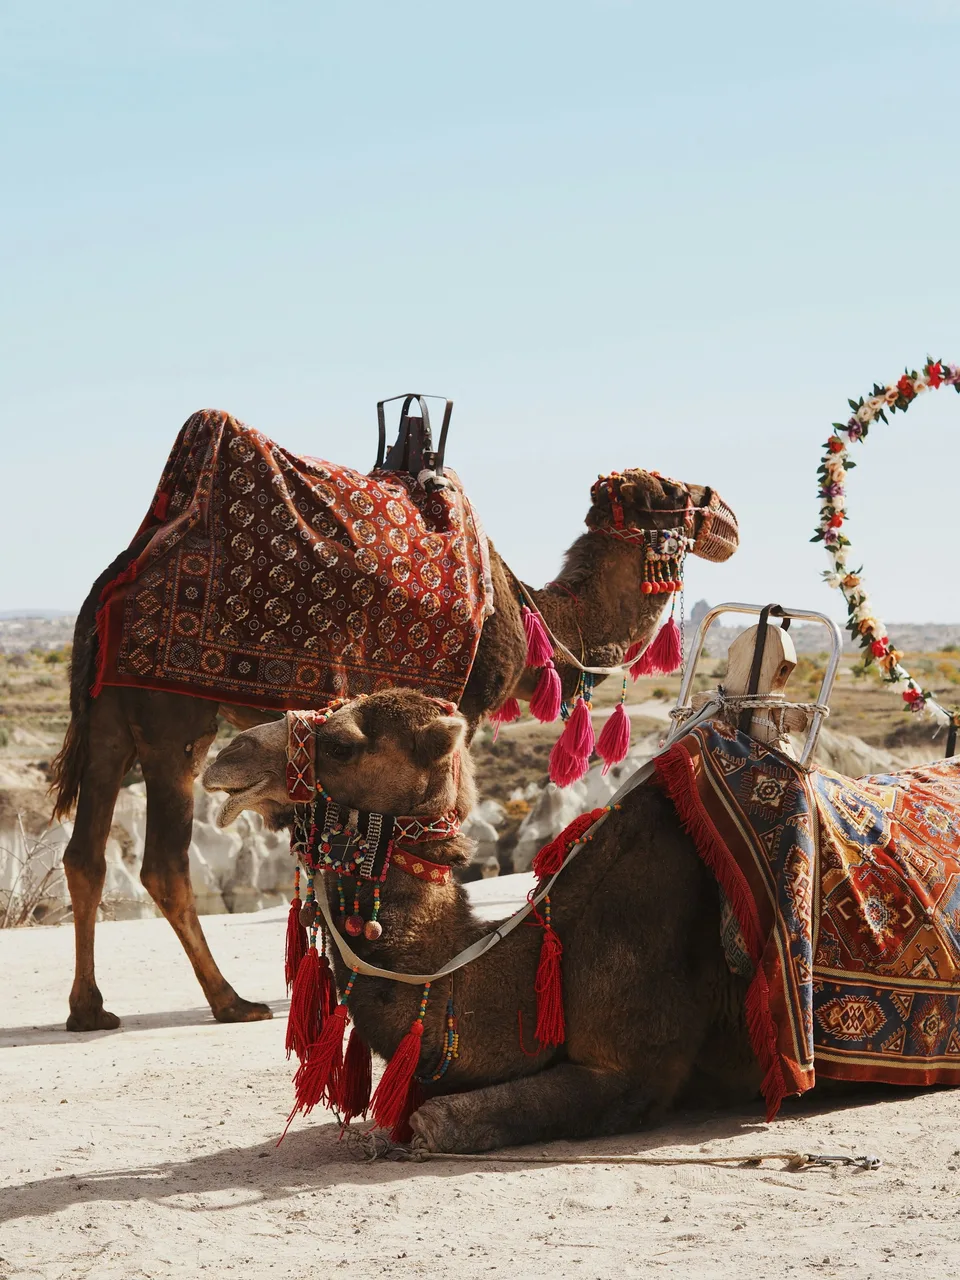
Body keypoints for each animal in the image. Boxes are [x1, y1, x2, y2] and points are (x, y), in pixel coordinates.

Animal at [51, 467, 738, 1033]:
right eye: (673, 490)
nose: (727, 512)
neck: (538, 618)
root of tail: (106, 592)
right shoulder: (466, 703)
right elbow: (450, 804)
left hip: (109, 718)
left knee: (85, 855)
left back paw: (89, 1009)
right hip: (171, 717)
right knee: (163, 864)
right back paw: (231, 1002)